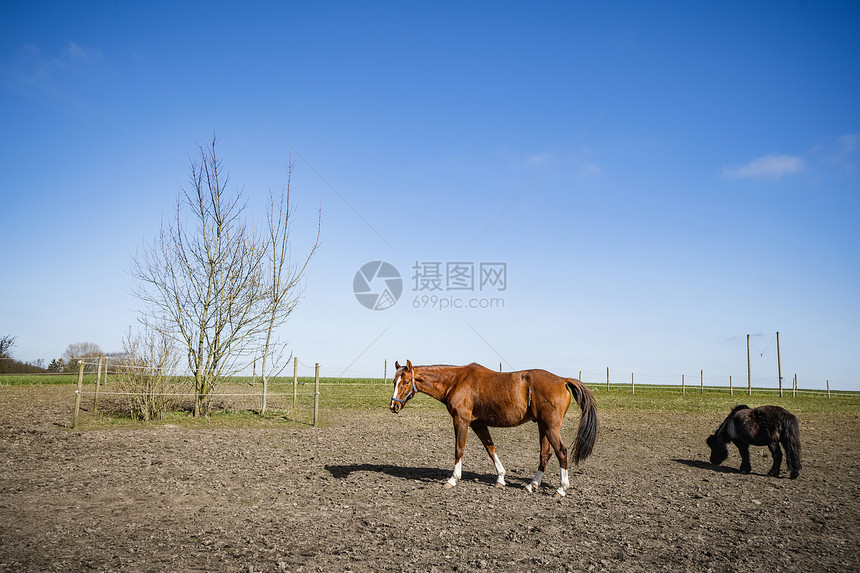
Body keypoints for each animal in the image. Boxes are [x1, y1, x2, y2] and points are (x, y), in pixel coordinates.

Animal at [390, 360, 596, 494]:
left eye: (406, 382)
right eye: (394, 382)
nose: (394, 406)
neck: (456, 381)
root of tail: (562, 379)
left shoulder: (461, 421)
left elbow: (459, 449)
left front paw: (453, 479)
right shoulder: (478, 424)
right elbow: (491, 449)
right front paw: (501, 478)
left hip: (551, 427)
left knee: (561, 451)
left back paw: (561, 488)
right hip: (543, 427)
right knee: (545, 454)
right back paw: (532, 485)